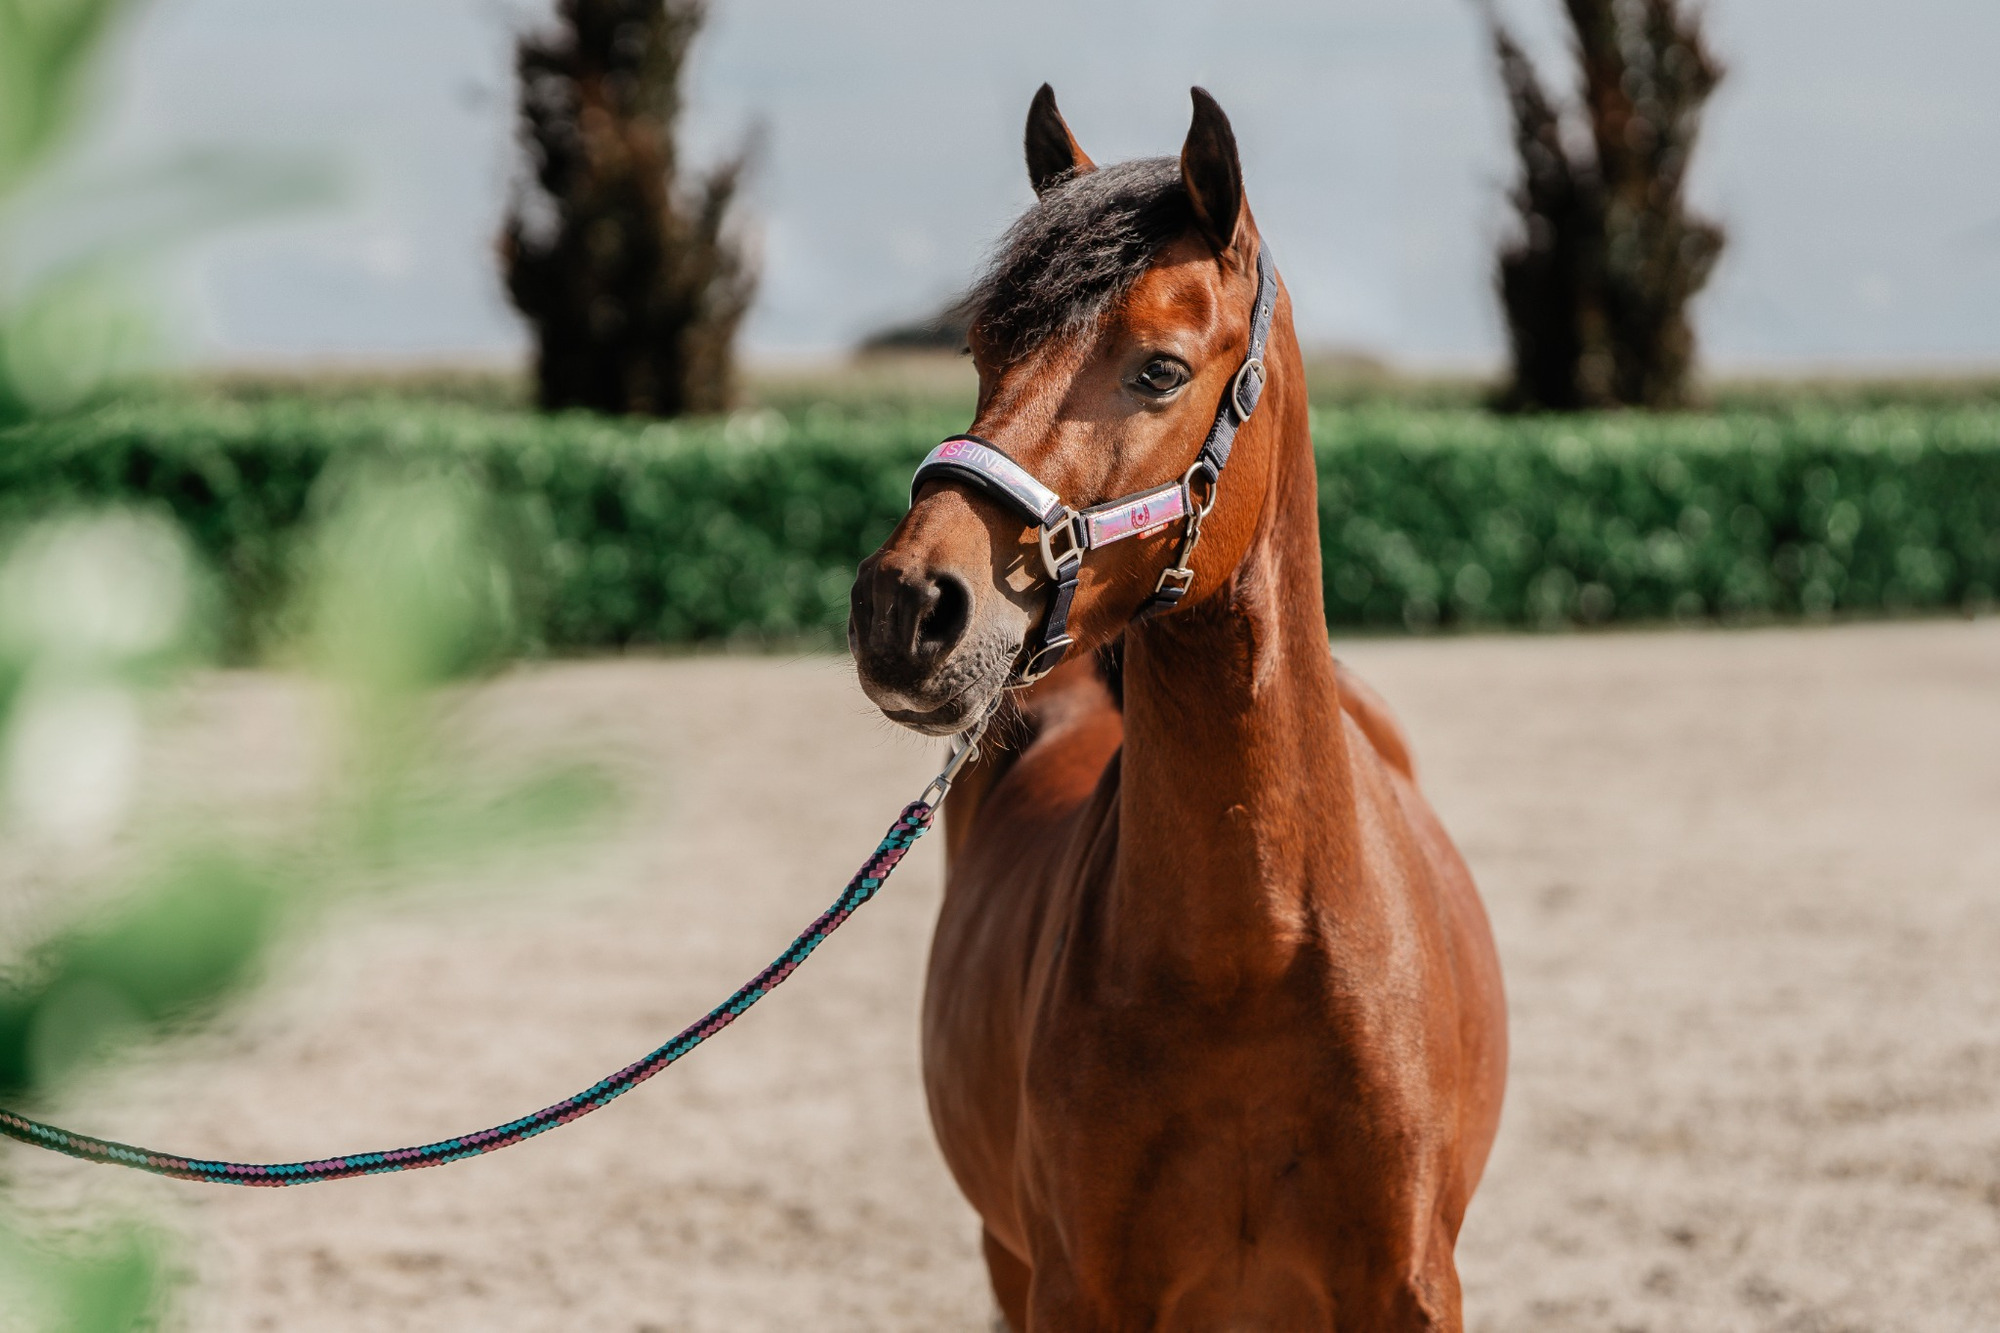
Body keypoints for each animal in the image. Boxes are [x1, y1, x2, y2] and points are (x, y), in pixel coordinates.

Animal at [848, 85, 1507, 1332]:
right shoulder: (1069, 1288)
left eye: (1157, 369)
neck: (1247, 964)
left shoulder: (1410, 1288)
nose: (904, 607)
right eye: (980, 351)